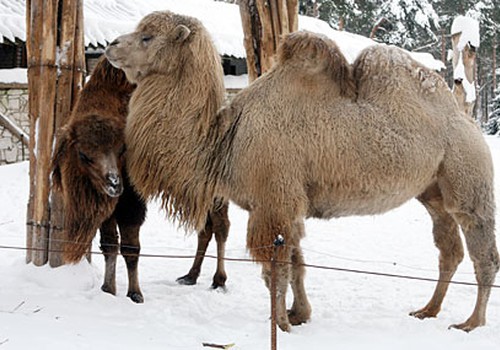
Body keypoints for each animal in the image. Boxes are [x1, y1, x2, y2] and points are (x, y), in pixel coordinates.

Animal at [104, 10, 496, 330]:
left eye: (147, 36)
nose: (110, 45)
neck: (225, 139)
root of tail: (466, 119)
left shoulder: (273, 201)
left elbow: (276, 267)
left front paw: (279, 323)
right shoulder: (287, 204)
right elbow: (296, 262)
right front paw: (298, 314)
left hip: (468, 175)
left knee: (483, 249)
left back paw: (470, 322)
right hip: (432, 191)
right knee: (449, 249)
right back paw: (428, 310)